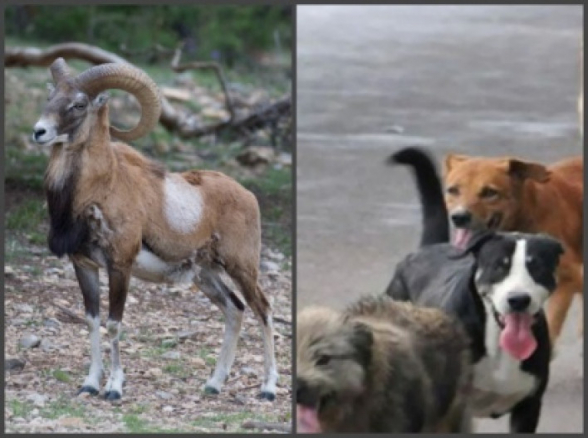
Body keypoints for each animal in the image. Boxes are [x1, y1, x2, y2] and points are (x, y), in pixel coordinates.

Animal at [386, 146, 564, 432]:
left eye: (535, 268)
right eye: (498, 266)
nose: (518, 299)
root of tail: (428, 248)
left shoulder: (528, 407)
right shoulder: (454, 410)